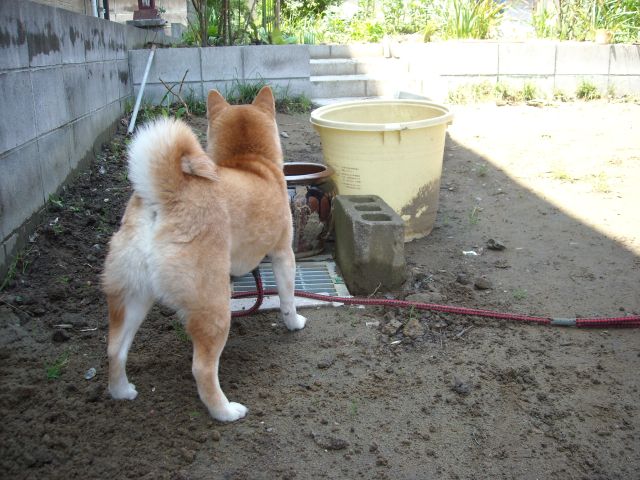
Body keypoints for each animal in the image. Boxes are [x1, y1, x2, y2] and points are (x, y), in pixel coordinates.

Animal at [102, 88, 308, 422]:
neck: (250, 162)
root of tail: (167, 198)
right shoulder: (282, 253)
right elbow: (288, 299)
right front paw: (294, 323)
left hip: (133, 296)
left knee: (115, 349)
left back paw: (121, 391)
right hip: (213, 306)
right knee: (202, 369)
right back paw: (225, 411)